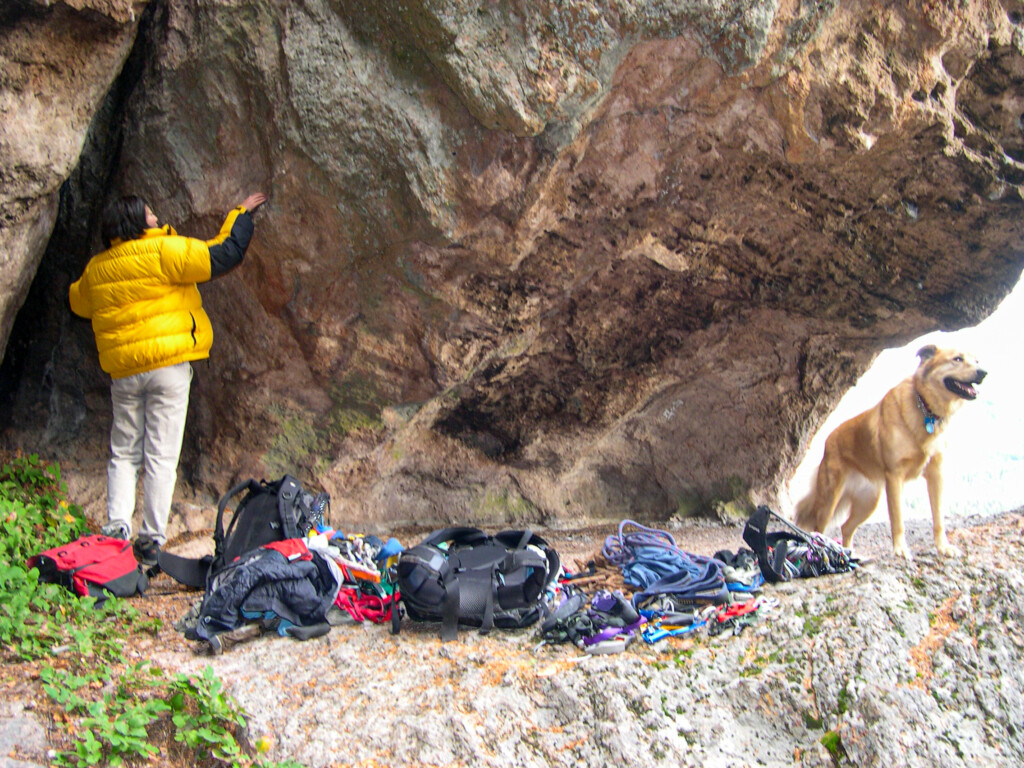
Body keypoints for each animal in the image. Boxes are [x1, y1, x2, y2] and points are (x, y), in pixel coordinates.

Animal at [794, 348, 987, 561]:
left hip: (869, 502)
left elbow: (938, 518)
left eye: (977, 361)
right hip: (830, 500)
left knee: (846, 527)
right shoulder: (895, 477)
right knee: (818, 530)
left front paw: (943, 547)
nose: (983, 372)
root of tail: (829, 440)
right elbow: (898, 519)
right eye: (957, 359)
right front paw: (900, 550)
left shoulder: (936, 475)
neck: (925, 408)